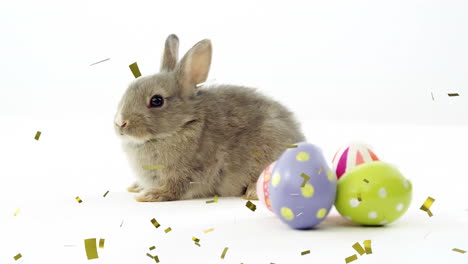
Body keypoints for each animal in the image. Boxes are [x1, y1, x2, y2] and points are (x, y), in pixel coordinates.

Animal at [113, 33, 304, 202]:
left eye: (156, 100)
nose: (120, 123)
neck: (185, 124)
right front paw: (136, 187)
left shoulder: (188, 172)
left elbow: (175, 188)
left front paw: (151, 195)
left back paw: (252, 192)